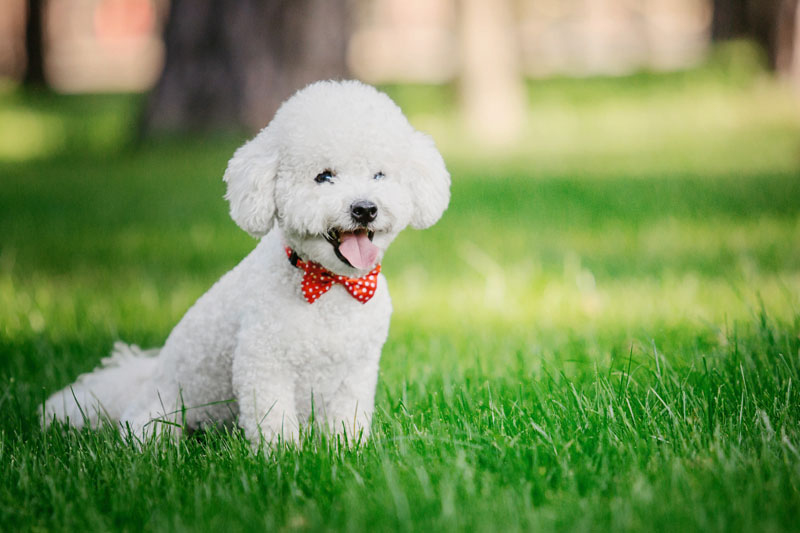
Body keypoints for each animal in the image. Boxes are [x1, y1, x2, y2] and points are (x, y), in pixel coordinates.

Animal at [42, 80, 450, 444]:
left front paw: (346, 451)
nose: (364, 208)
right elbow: (275, 424)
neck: (329, 286)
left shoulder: (356, 371)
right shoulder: (263, 364)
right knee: (144, 430)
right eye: (324, 176)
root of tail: (143, 378)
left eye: (379, 174)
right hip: (161, 413)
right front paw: (284, 459)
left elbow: (346, 421)